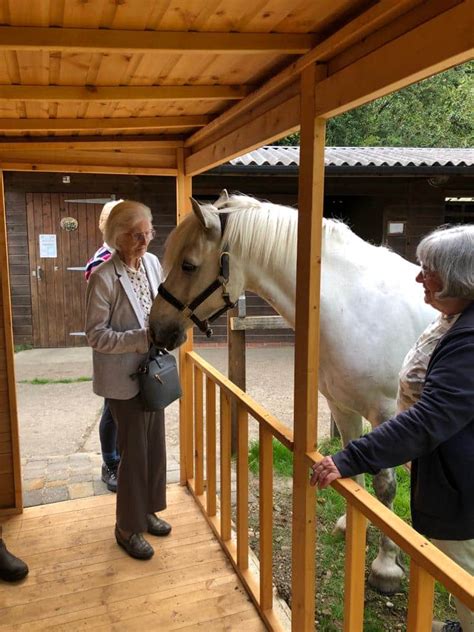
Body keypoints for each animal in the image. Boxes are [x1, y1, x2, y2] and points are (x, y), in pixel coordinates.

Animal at [150, 191, 436, 592]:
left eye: (189, 265)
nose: (156, 329)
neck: (352, 308)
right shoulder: (343, 406)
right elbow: (354, 473)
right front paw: (352, 528)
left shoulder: (386, 415)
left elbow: (385, 487)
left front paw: (385, 566)